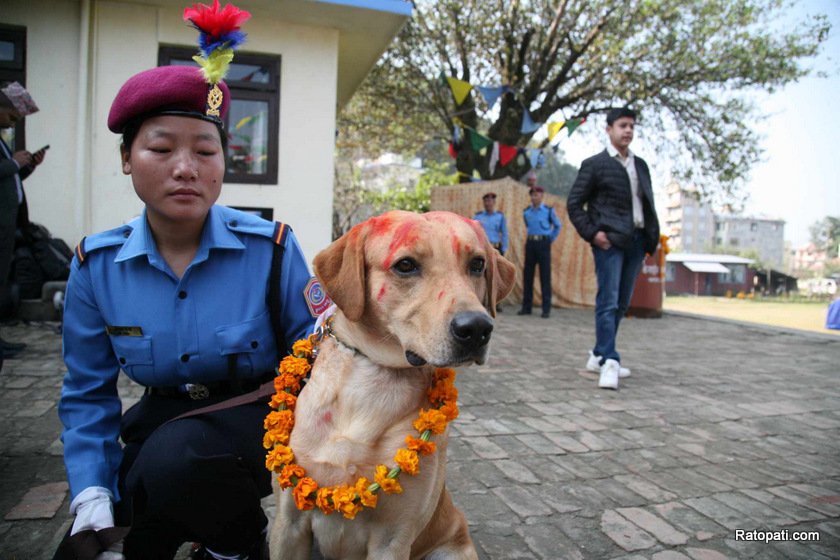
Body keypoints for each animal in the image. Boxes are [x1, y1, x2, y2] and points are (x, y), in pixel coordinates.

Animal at [272, 211, 516, 560]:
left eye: (478, 264)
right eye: (405, 265)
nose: (477, 328)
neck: (373, 382)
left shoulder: (393, 539)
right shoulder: (288, 522)